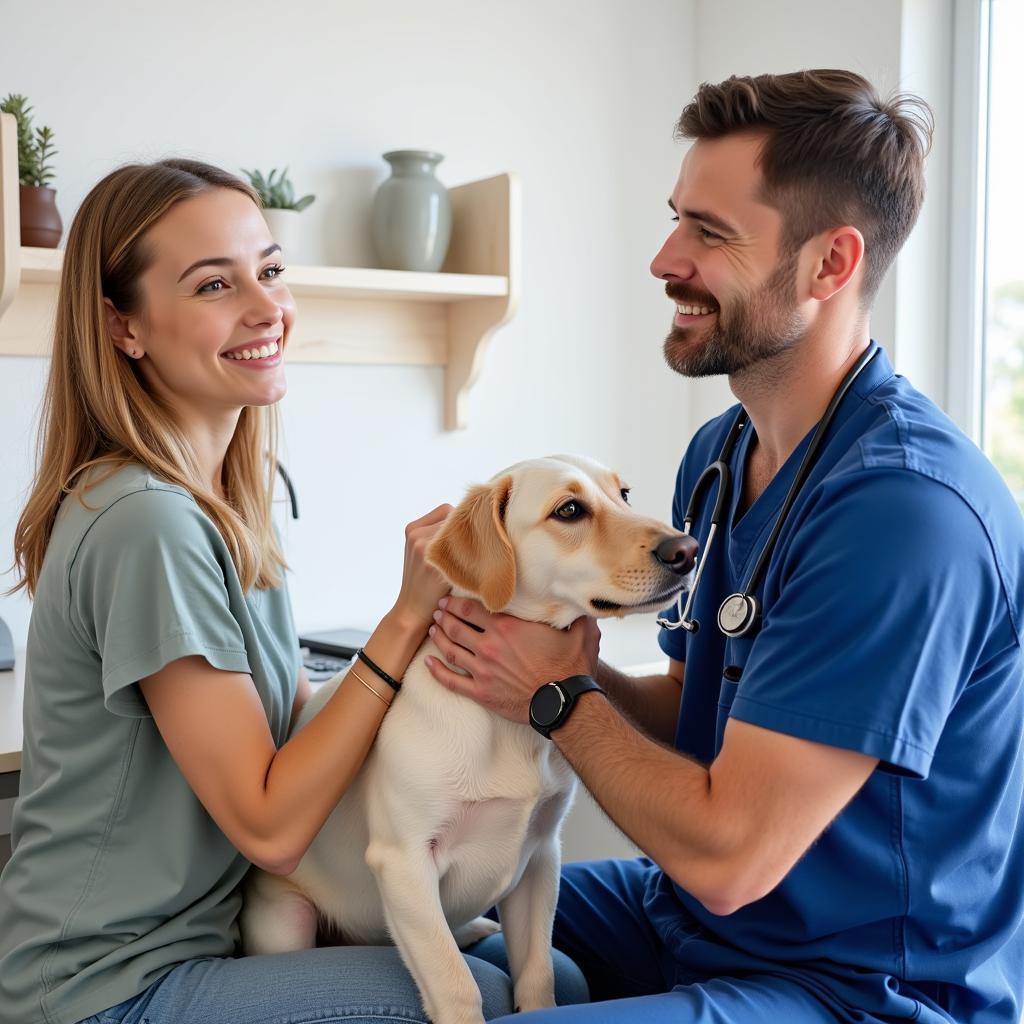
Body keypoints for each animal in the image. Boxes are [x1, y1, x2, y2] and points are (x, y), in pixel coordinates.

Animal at [239, 456, 696, 1024]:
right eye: (569, 510)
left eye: (624, 495)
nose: (686, 549)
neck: (506, 725)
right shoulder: (404, 861)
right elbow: (456, 986)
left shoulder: (541, 857)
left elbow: (538, 976)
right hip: (287, 919)